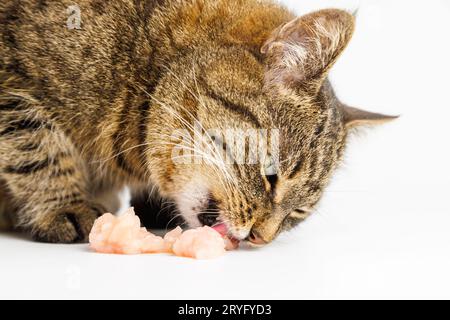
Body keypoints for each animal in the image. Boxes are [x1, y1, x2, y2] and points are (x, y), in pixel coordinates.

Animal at [0, 0, 394, 244]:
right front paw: (65, 205)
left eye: (298, 212)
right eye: (271, 176)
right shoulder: (11, 84)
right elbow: (37, 147)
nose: (261, 238)